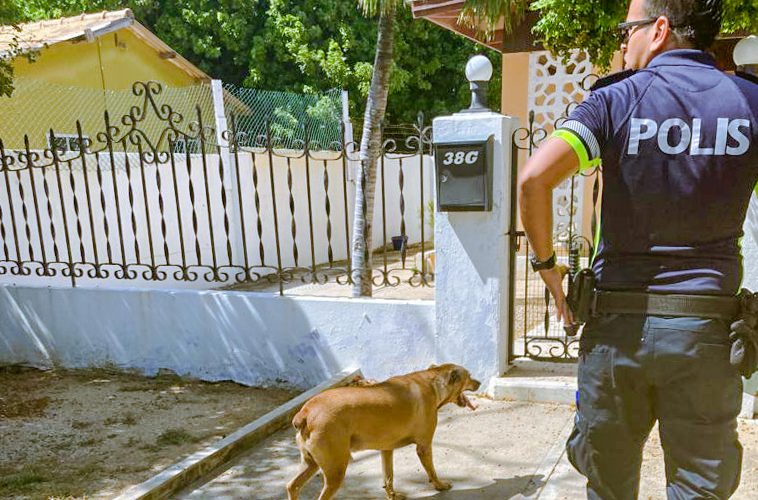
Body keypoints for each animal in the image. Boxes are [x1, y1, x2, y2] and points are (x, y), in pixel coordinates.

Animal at [284, 364, 480, 500]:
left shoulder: (386, 450)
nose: (479, 382)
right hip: (335, 470)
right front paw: (440, 485)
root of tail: (305, 413)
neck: (433, 383)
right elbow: (432, 472)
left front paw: (392, 496)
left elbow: (388, 477)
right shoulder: (424, 447)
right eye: (469, 376)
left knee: (292, 486)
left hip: (311, 464)